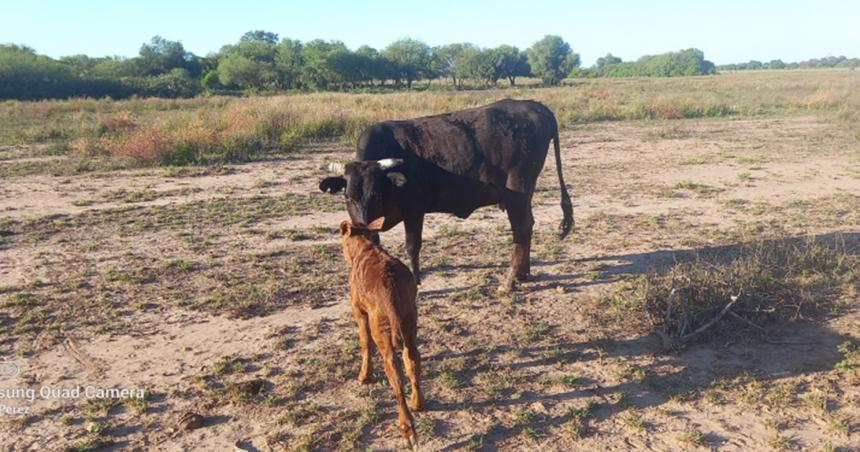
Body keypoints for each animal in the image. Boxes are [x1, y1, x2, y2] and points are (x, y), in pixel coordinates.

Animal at [320, 99, 576, 290]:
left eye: (375, 194)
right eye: (347, 196)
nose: (363, 225)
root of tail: (534, 105)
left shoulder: (414, 210)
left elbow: (412, 246)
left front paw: (416, 280)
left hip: (517, 191)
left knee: (521, 228)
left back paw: (511, 279)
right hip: (525, 194)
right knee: (528, 226)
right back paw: (523, 273)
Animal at [340, 217, 424, 446]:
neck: (364, 248)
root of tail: (391, 286)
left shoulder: (359, 311)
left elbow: (364, 343)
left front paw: (364, 375)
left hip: (382, 330)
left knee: (395, 374)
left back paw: (407, 427)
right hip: (409, 321)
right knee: (412, 360)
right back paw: (417, 402)